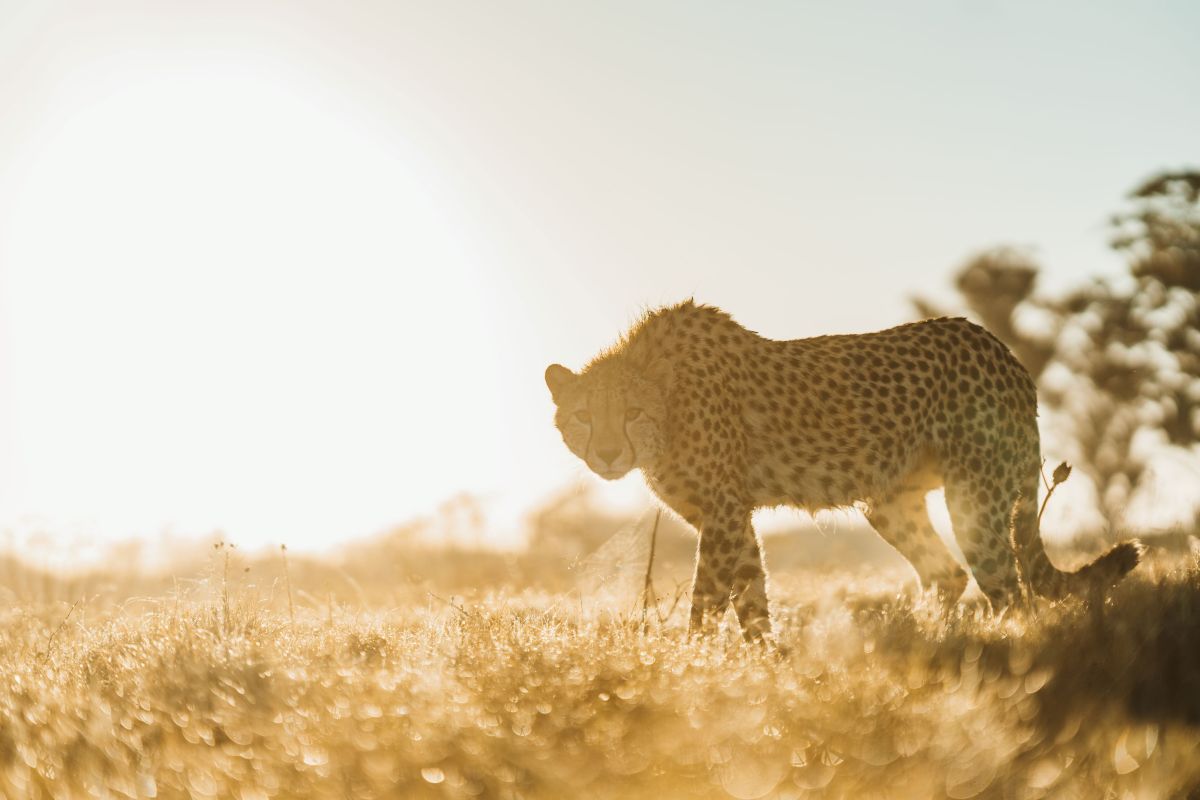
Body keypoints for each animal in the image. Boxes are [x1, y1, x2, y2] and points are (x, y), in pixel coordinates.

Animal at [545, 300, 1142, 640]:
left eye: (631, 413)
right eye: (583, 416)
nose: (607, 454)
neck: (668, 407)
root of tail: (1004, 351)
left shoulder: (722, 513)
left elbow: (708, 601)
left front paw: (690, 668)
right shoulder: (730, 518)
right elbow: (750, 596)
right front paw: (764, 670)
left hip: (975, 497)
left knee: (1009, 591)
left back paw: (1009, 657)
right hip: (890, 502)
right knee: (946, 573)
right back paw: (934, 639)